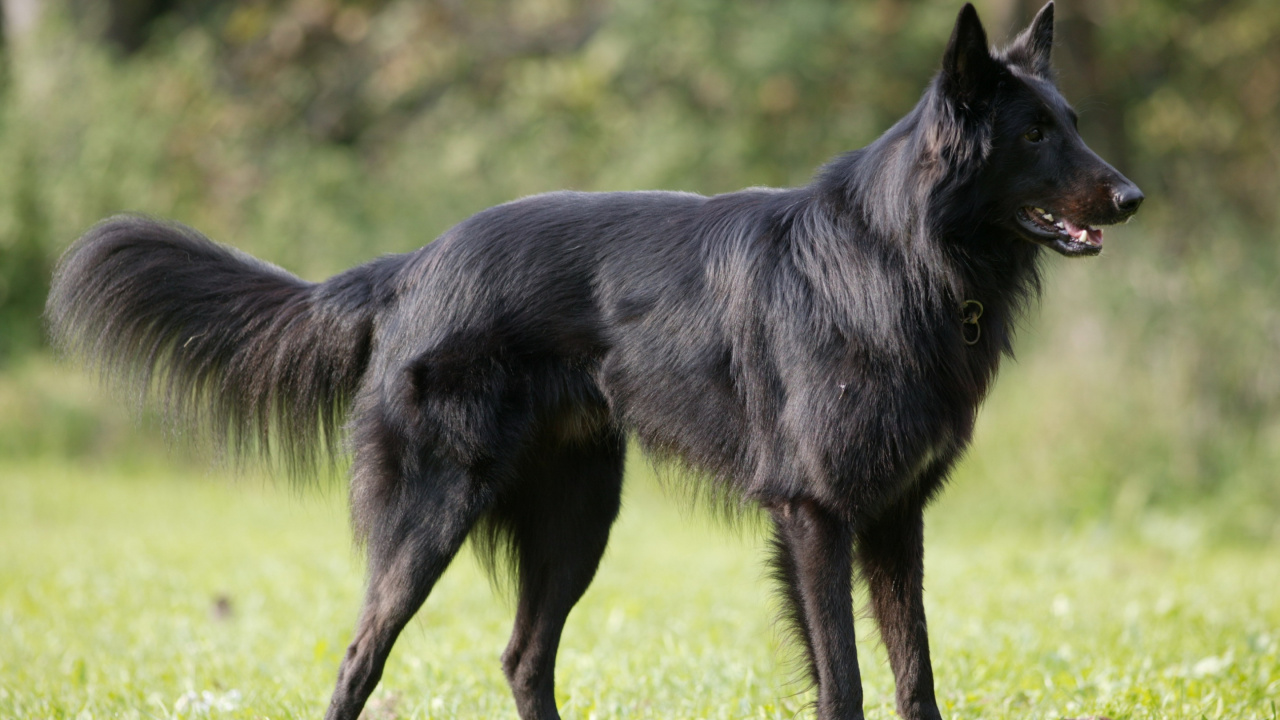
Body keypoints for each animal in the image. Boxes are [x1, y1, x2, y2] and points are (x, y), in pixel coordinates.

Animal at [46, 3, 1141, 718]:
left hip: (578, 520)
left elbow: (915, 676)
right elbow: (847, 679)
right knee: (361, 652)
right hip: (432, 515)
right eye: (1033, 133)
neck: (898, 258)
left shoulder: (895, 519)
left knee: (523, 656)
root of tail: (411, 267)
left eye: (1072, 126)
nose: (1132, 197)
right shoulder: (817, 516)